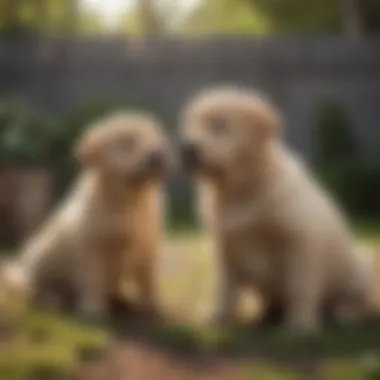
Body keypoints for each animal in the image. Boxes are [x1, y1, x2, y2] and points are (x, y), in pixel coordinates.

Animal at [12, 112, 172, 318]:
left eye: (155, 138)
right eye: (126, 142)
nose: (158, 156)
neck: (127, 201)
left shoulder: (146, 246)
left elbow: (148, 281)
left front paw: (154, 306)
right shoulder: (91, 247)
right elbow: (93, 278)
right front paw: (93, 308)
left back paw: (121, 299)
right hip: (40, 256)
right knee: (38, 289)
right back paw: (51, 300)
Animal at [180, 86, 378, 330]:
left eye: (220, 125)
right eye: (192, 124)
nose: (187, 148)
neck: (241, 191)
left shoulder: (300, 242)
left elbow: (300, 287)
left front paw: (300, 325)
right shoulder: (226, 245)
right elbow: (225, 288)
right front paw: (218, 317)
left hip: (361, 268)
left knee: (353, 301)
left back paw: (344, 313)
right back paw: (268, 313)